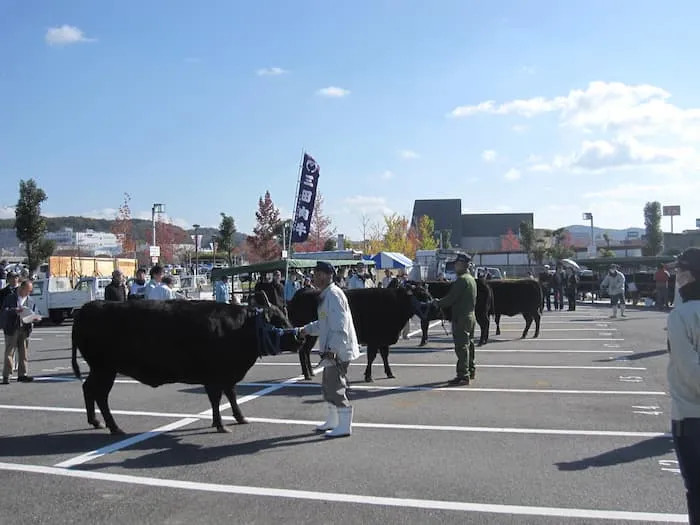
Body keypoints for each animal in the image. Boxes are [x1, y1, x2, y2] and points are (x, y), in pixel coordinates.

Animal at [284, 286, 426, 380]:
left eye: (427, 293)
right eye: (420, 295)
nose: (427, 307)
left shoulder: (383, 339)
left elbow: (385, 356)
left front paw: (389, 373)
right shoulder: (374, 340)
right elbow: (371, 357)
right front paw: (368, 376)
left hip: (312, 335)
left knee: (306, 351)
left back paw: (311, 372)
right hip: (308, 335)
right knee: (303, 351)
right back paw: (307, 375)